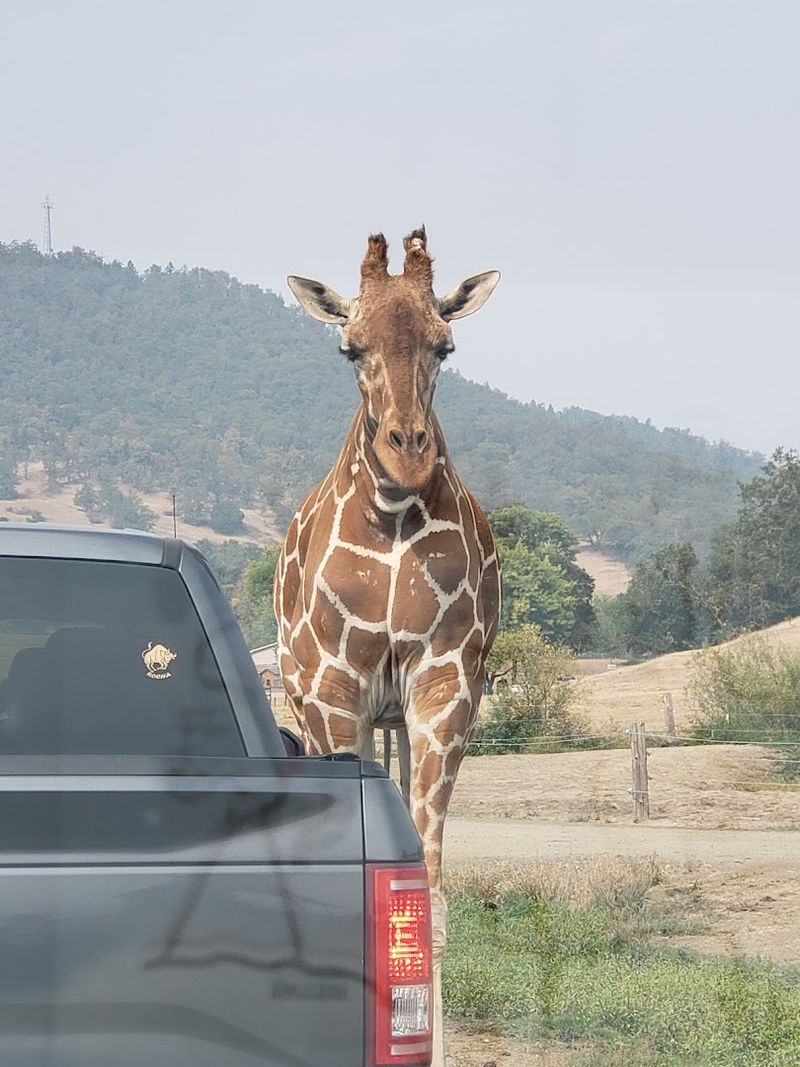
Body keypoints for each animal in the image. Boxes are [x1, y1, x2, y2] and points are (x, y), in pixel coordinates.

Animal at [275, 228, 500, 1065]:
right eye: (350, 346)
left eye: (446, 345)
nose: (409, 454)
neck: (395, 511)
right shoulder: (335, 688)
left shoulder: (445, 686)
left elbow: (427, 883)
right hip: (328, 707)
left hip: (395, 717)